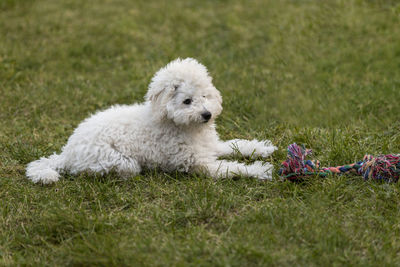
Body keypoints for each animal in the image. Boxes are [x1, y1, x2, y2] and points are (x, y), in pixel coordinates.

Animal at [26, 58, 276, 184]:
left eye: (205, 96)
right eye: (187, 101)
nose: (207, 115)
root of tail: (67, 152)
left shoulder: (210, 147)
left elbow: (237, 145)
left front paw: (262, 149)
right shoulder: (199, 164)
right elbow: (233, 168)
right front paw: (259, 170)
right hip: (120, 162)